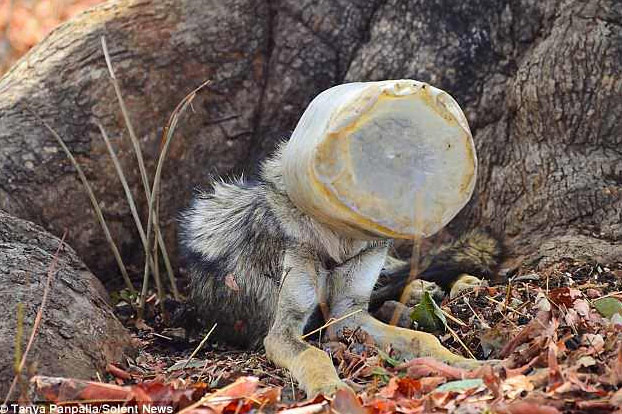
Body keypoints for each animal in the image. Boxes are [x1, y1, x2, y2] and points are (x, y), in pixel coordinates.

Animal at [179, 144, 502, 396]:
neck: (339, 242)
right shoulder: (284, 330)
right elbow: (314, 355)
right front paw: (330, 389)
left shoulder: (349, 314)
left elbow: (423, 339)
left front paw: (469, 364)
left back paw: (458, 285)